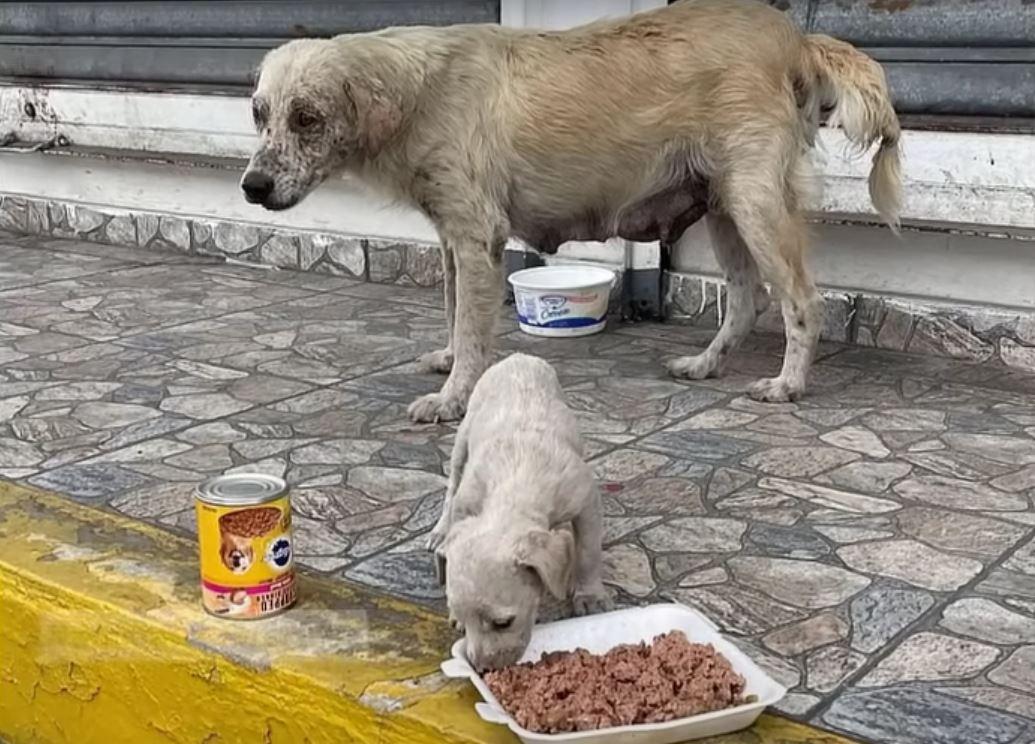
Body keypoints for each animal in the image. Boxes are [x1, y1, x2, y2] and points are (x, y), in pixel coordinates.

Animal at [430, 351, 612, 670]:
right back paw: (439, 532)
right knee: (451, 486)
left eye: (503, 623)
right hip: (463, 437)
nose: (480, 668)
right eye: (464, 619)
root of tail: (517, 356)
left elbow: (588, 552)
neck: (516, 477)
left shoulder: (585, 500)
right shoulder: (468, 503)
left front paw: (590, 596)